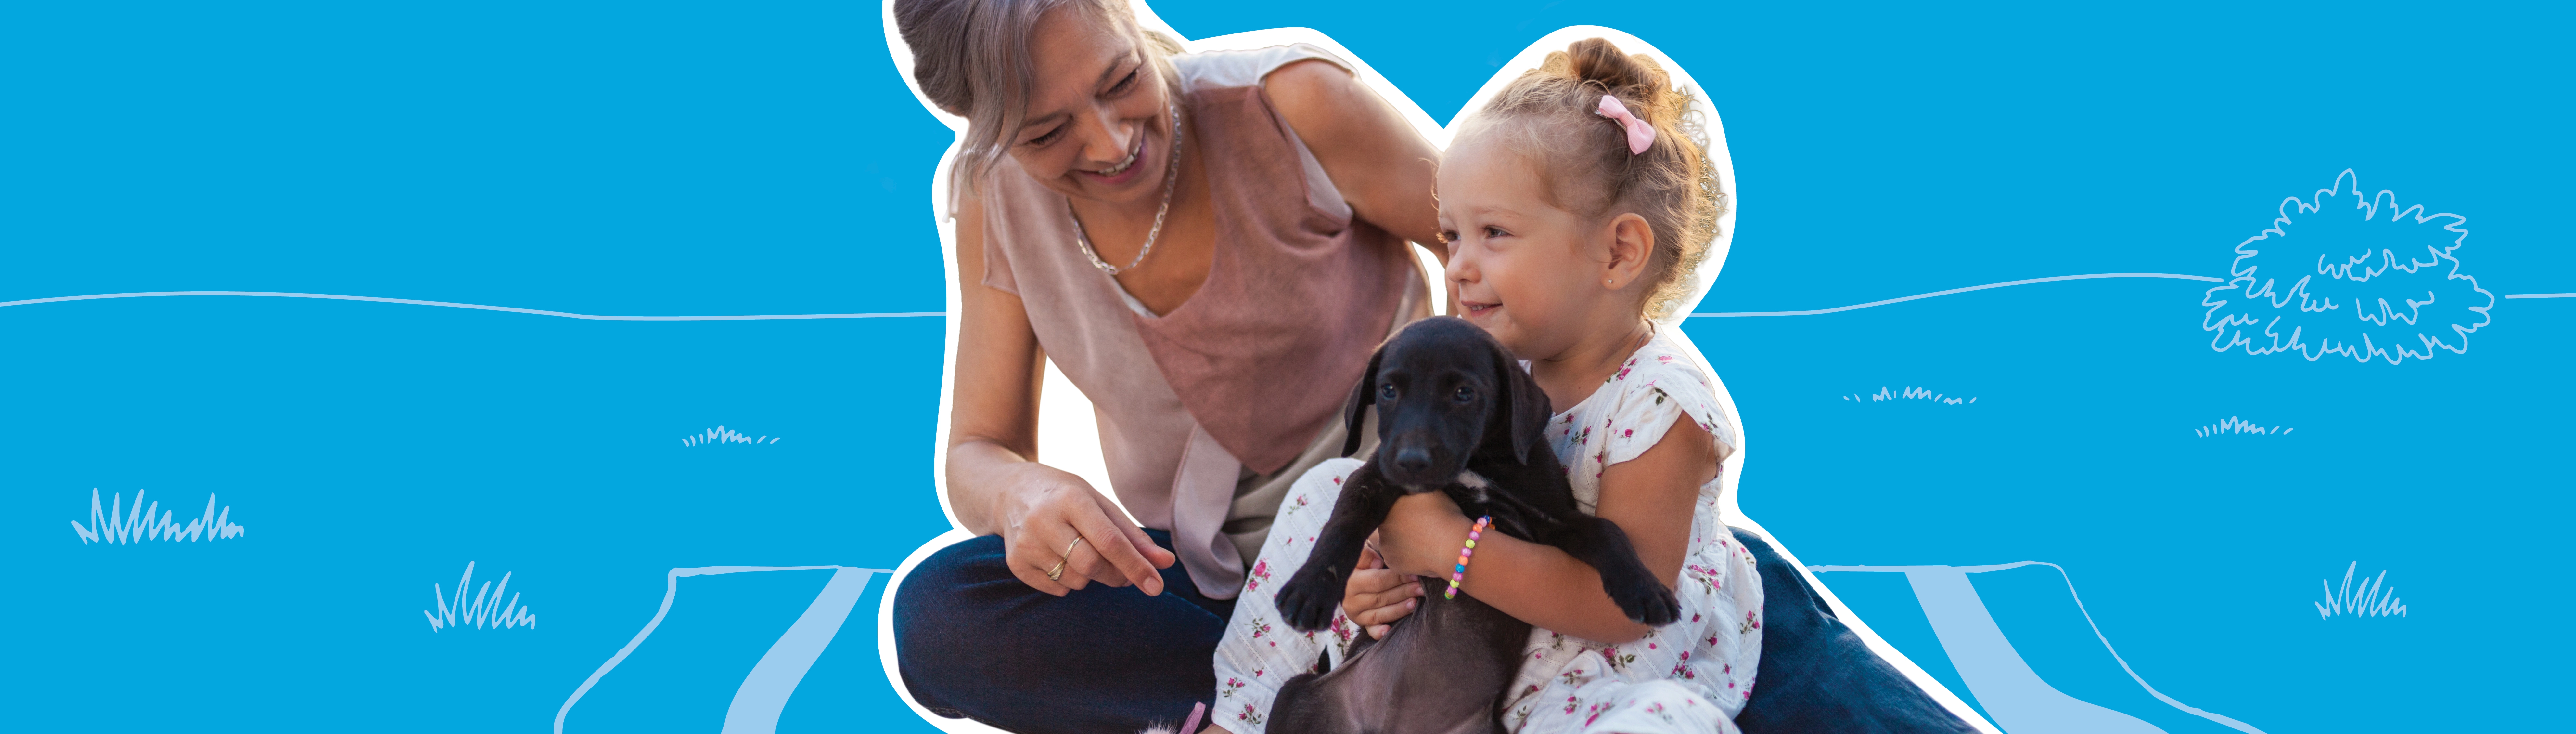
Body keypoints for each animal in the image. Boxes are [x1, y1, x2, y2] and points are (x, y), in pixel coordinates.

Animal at [1272, 315, 1690, 731]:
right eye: (1388, 390)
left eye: (1464, 393)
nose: (1411, 460)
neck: (1480, 461)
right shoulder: (1373, 479)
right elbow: (1342, 525)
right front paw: (1310, 588)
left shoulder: (1554, 516)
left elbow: (1606, 532)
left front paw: (1643, 589)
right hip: (1294, 694)